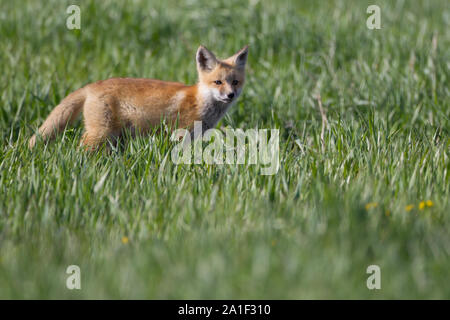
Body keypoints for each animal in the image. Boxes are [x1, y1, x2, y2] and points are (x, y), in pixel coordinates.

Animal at [29, 44, 250, 149]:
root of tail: (92, 85)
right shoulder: (178, 134)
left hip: (114, 138)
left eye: (235, 82)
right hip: (100, 134)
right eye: (218, 82)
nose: (230, 95)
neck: (199, 101)